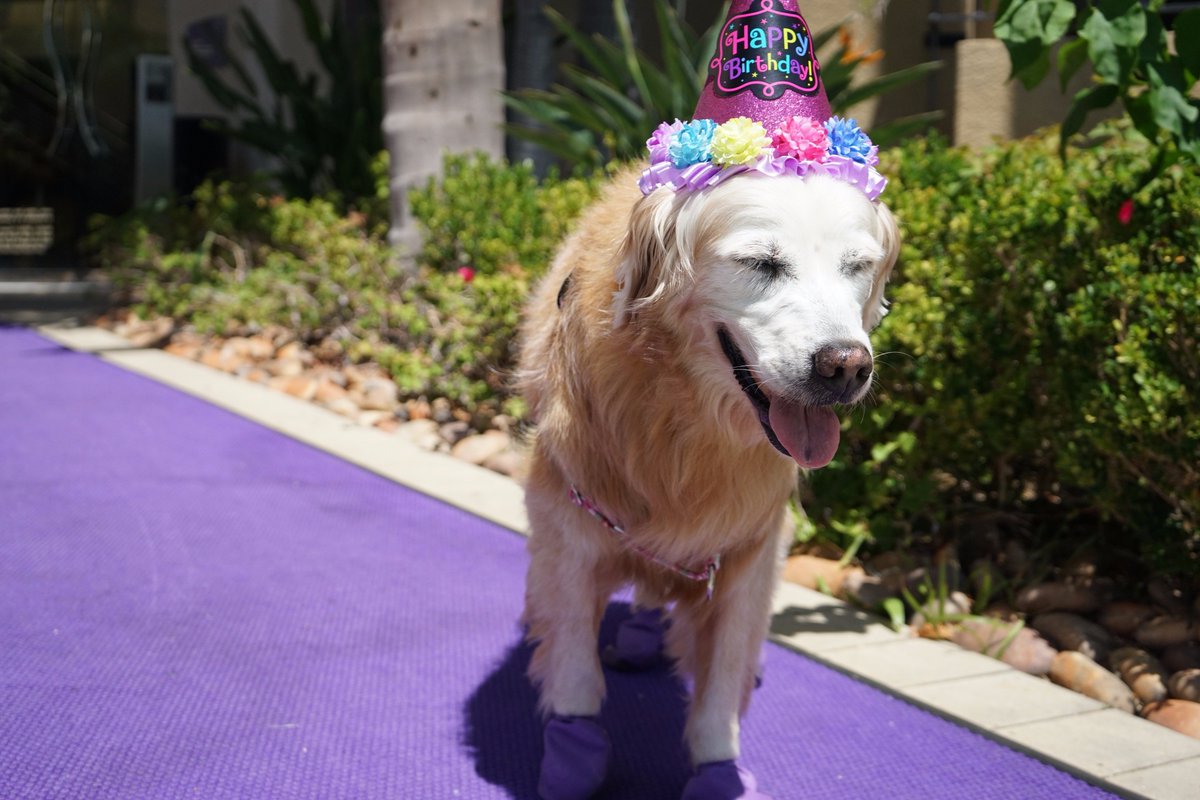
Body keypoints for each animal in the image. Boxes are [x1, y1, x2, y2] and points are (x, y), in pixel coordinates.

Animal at [520, 164, 897, 800]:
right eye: (762, 263)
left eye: (857, 266)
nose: (846, 366)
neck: (685, 417)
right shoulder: (568, 527)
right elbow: (573, 666)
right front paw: (574, 750)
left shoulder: (750, 550)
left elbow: (722, 677)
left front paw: (719, 768)